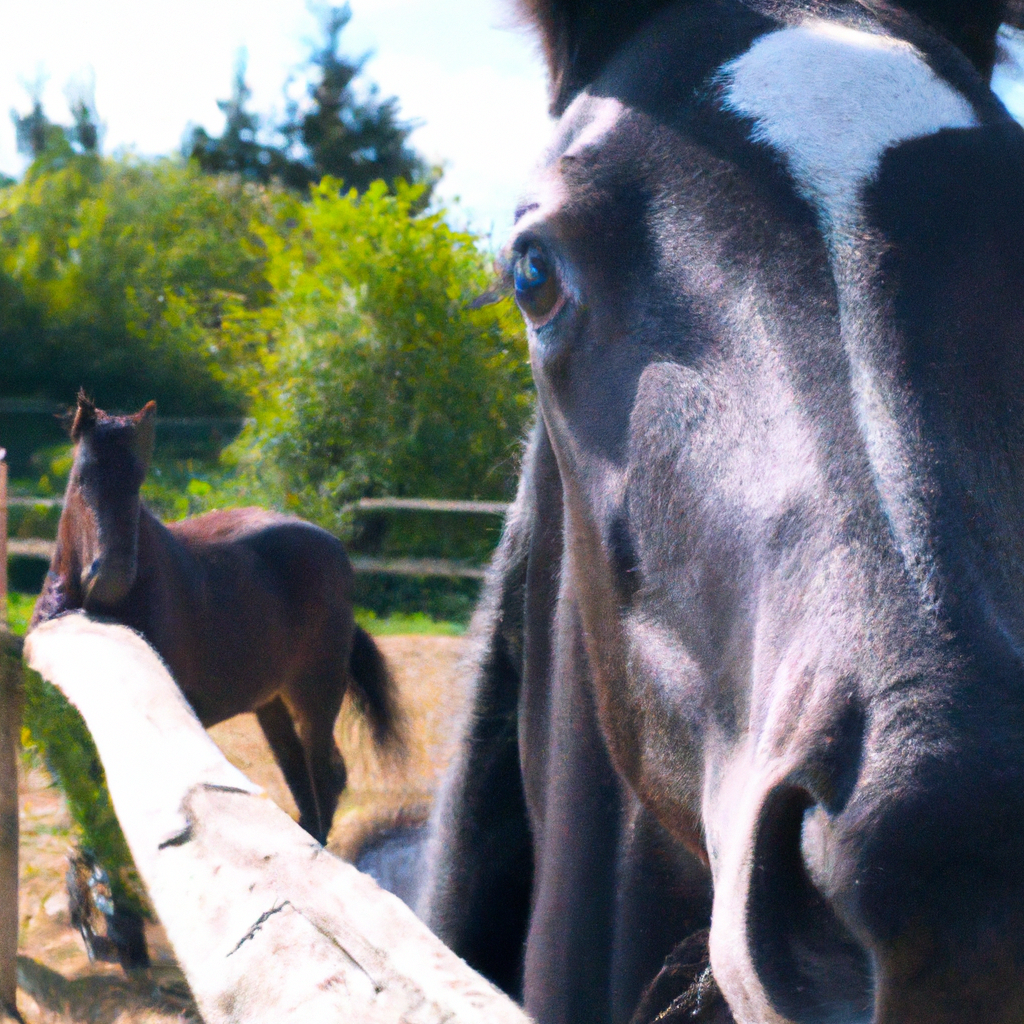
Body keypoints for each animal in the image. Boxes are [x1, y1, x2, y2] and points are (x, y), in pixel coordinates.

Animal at [33, 391, 399, 847]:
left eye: (138, 482)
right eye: (82, 477)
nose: (111, 576)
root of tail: (334, 548)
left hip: (316, 695)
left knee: (326, 776)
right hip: (271, 704)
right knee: (303, 778)